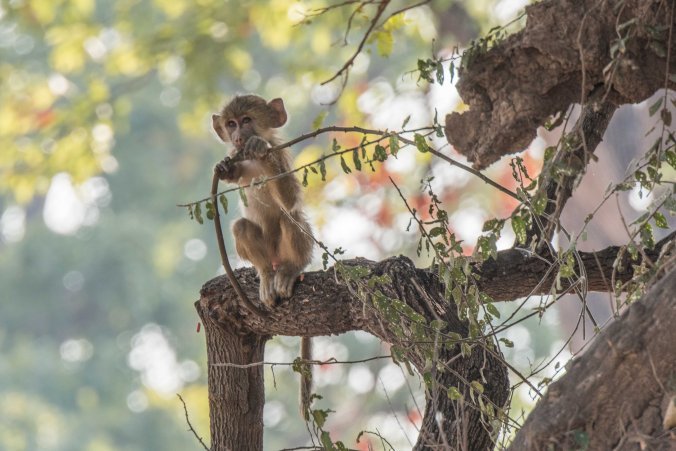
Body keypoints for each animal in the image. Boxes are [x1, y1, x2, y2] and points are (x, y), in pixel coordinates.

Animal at [212, 94, 315, 419]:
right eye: (231, 124)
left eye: (247, 120)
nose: (238, 136)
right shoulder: (238, 160)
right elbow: (231, 169)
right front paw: (223, 166)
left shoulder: (278, 154)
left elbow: (291, 199)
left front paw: (259, 146)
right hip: (267, 253)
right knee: (242, 226)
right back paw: (267, 276)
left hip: (289, 249)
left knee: (290, 217)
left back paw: (290, 270)